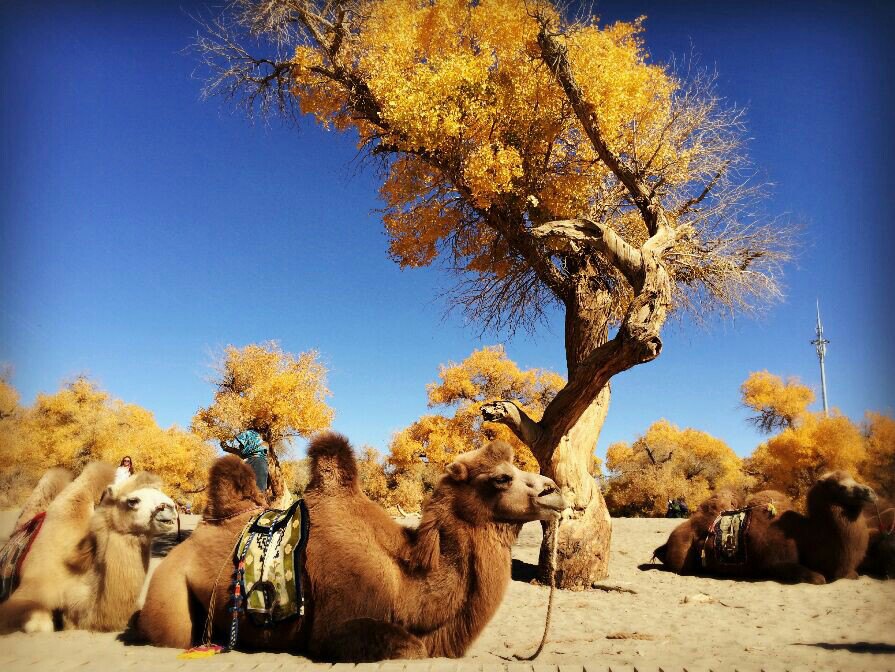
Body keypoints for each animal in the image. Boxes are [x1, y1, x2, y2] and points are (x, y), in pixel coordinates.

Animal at [138, 434, 568, 660]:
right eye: (501, 478)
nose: (554, 491)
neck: (403, 584)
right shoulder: (334, 631)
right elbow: (410, 647)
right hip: (169, 594)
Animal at [656, 472, 876, 584]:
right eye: (840, 486)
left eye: (855, 480)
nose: (870, 492)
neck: (805, 535)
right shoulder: (777, 563)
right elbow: (818, 578)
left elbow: (853, 575)